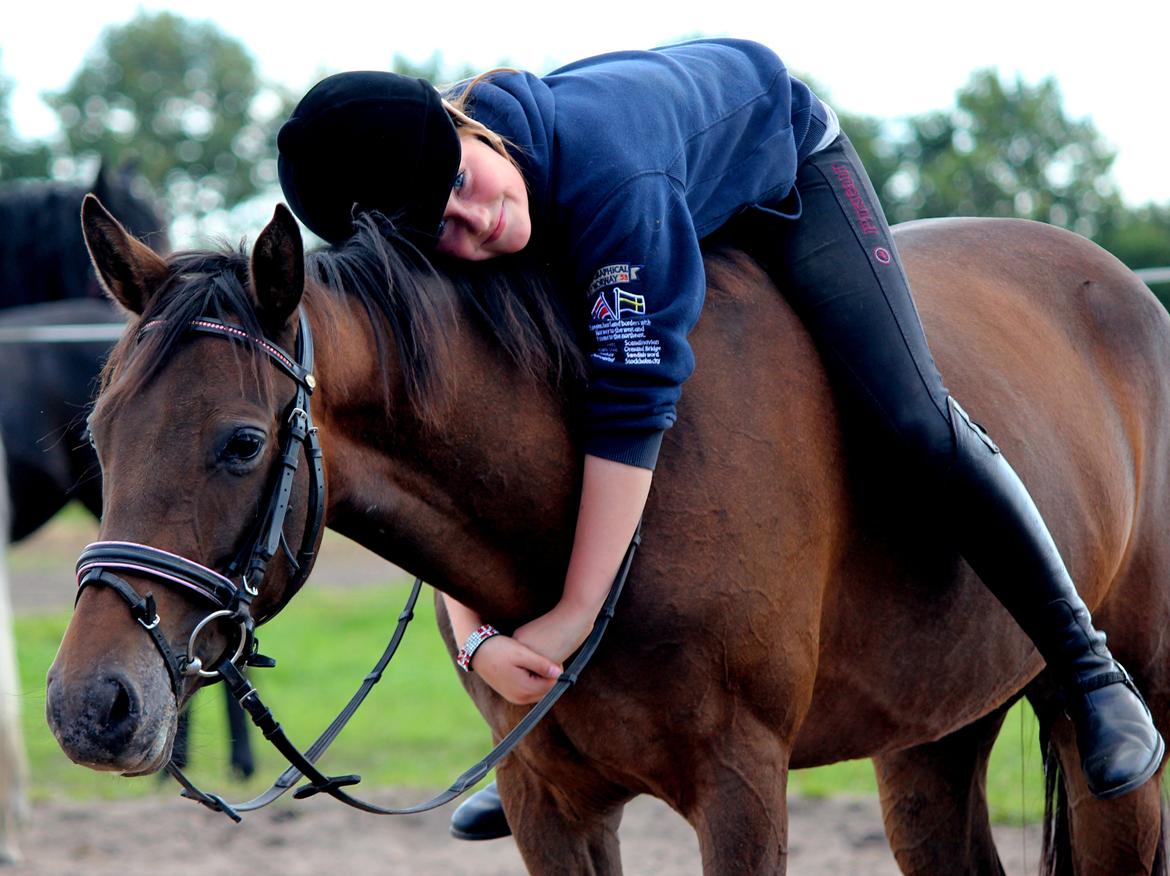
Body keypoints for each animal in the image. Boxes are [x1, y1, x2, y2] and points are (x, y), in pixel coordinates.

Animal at [43, 199, 1170, 874]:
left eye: (240, 444)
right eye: (98, 434)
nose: (91, 706)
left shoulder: (741, 790)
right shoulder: (550, 802)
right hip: (930, 745)